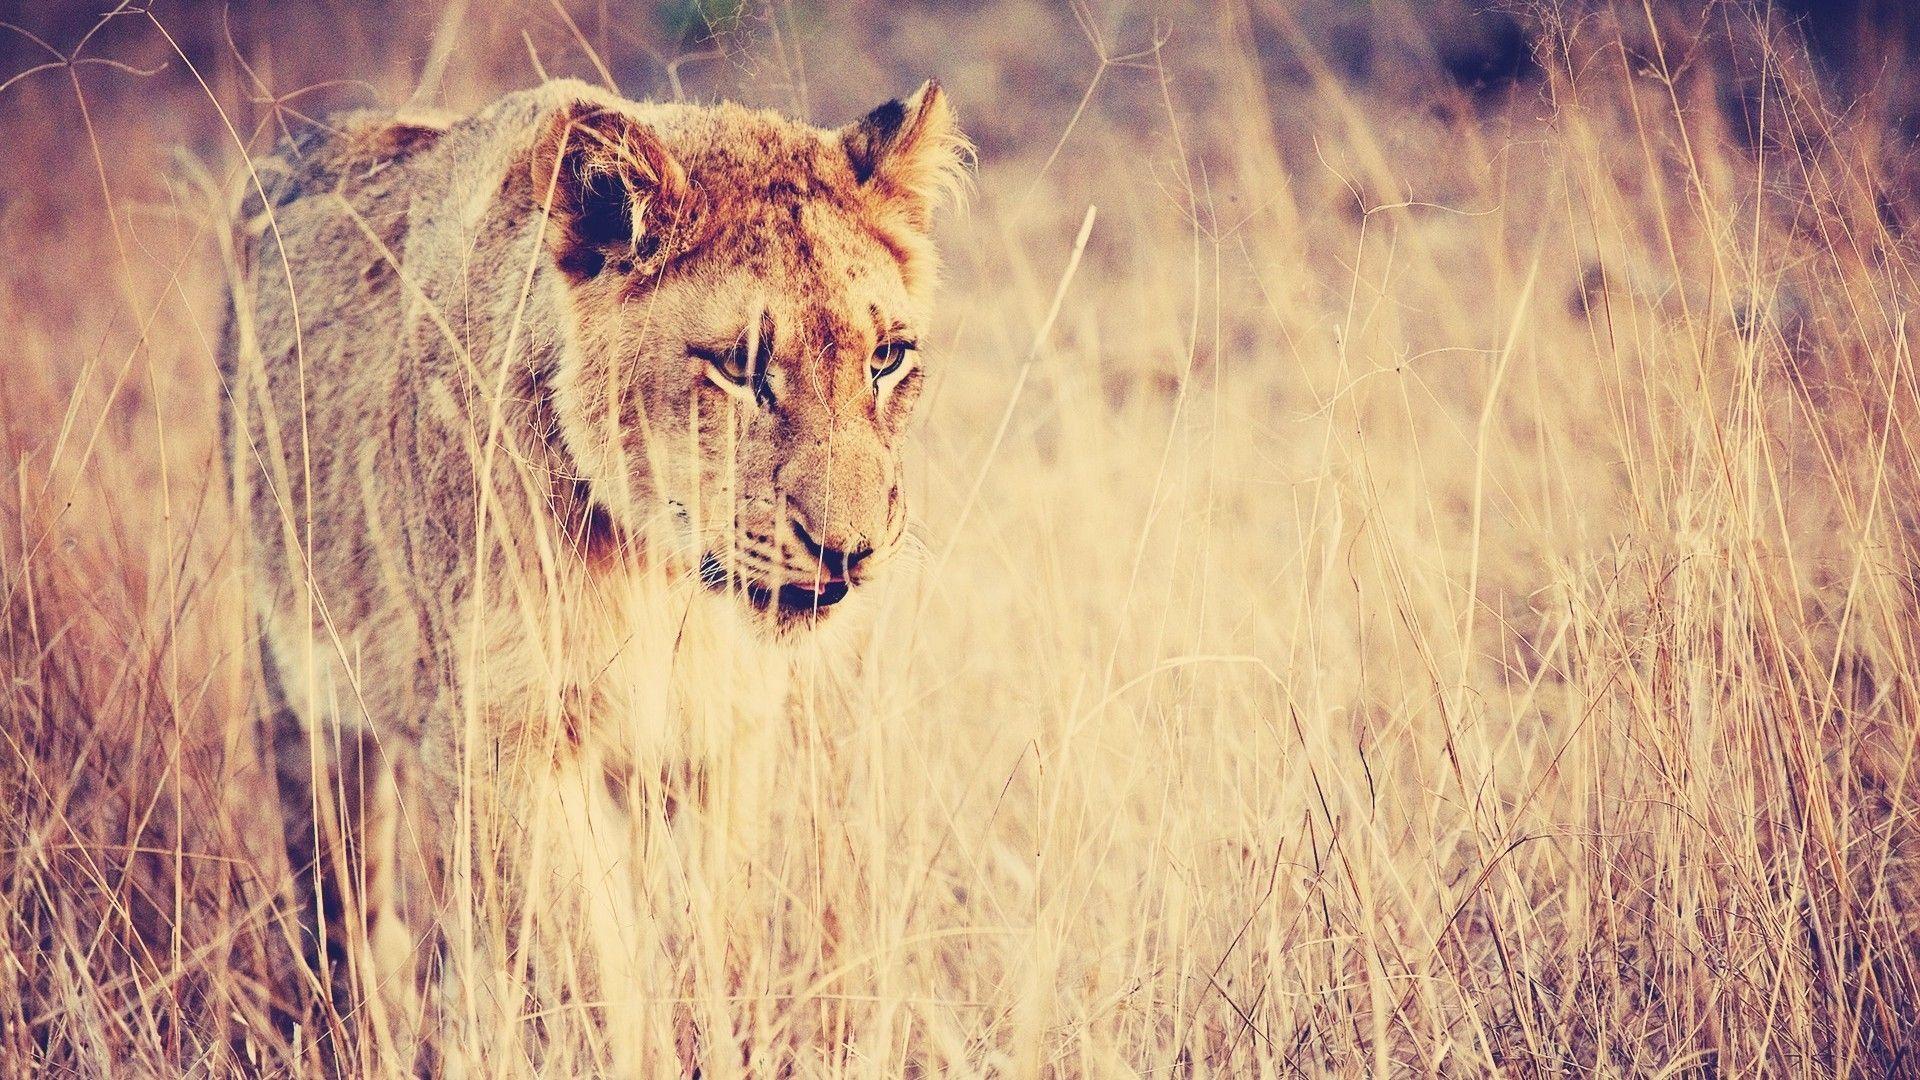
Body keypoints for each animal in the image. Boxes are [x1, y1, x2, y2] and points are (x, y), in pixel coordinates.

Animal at [219, 77, 968, 1070]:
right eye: (740, 367)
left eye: (886, 358)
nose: (848, 549)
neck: (663, 573)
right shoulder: (501, 734)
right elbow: (584, 968)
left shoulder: (721, 734)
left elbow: (714, 944)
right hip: (305, 697)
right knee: (346, 912)